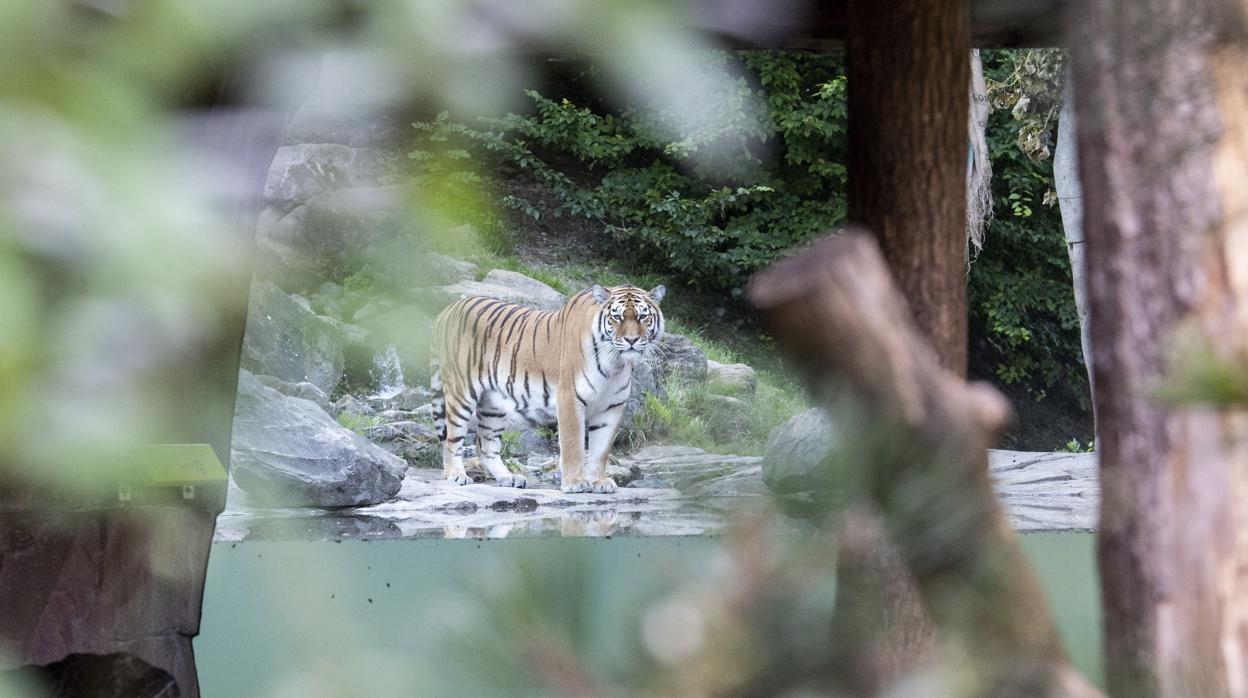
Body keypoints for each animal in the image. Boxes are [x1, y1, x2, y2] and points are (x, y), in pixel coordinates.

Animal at [429, 280, 663, 494]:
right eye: (617, 317)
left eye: (643, 316)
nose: (631, 340)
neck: (615, 363)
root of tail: (446, 311)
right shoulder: (570, 398)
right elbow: (573, 445)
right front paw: (575, 483)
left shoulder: (611, 407)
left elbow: (600, 450)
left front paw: (598, 482)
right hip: (461, 393)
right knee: (451, 440)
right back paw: (456, 475)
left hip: (493, 405)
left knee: (485, 446)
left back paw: (508, 478)